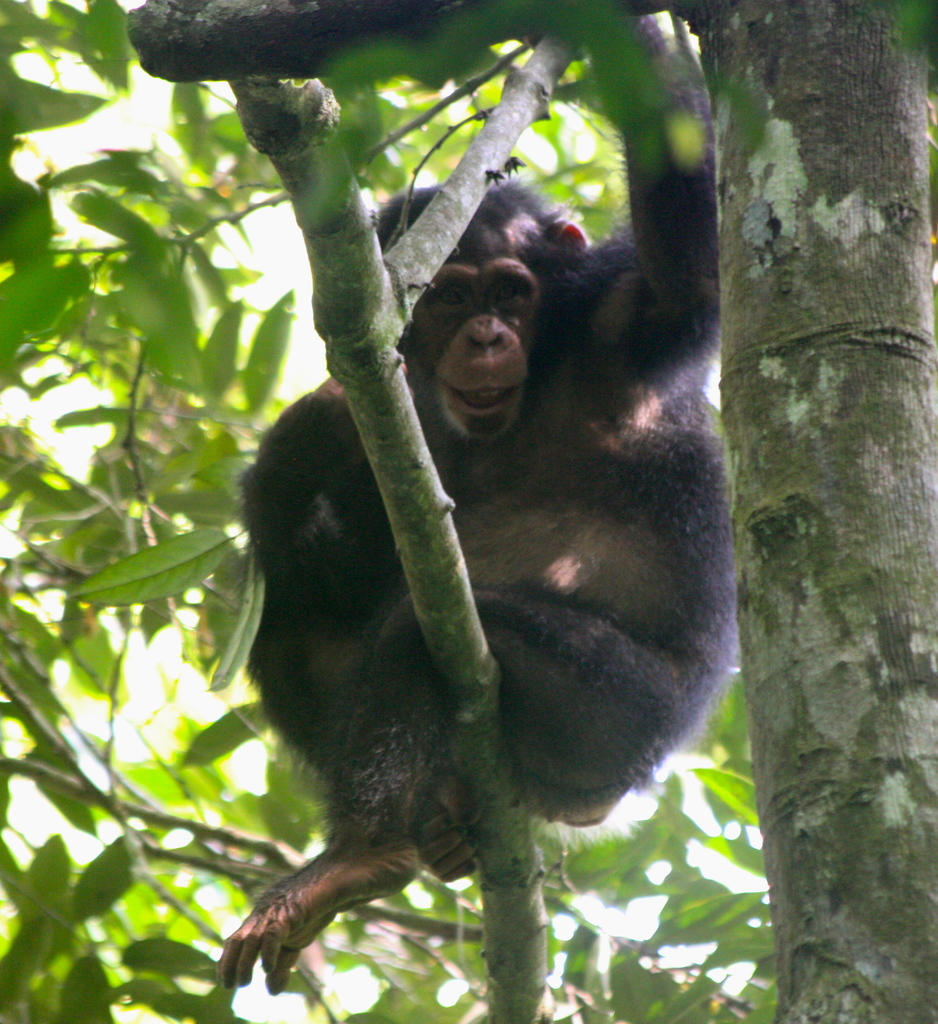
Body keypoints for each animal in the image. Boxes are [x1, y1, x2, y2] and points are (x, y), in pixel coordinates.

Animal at [218, 17, 736, 995]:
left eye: (508, 291)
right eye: (451, 296)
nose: (488, 337)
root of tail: (597, 804)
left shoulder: (621, 320)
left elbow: (685, 267)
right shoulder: (385, 411)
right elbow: (304, 519)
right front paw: (301, 489)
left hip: (616, 720)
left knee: (425, 631)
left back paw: (364, 853)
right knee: (292, 622)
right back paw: (433, 823)